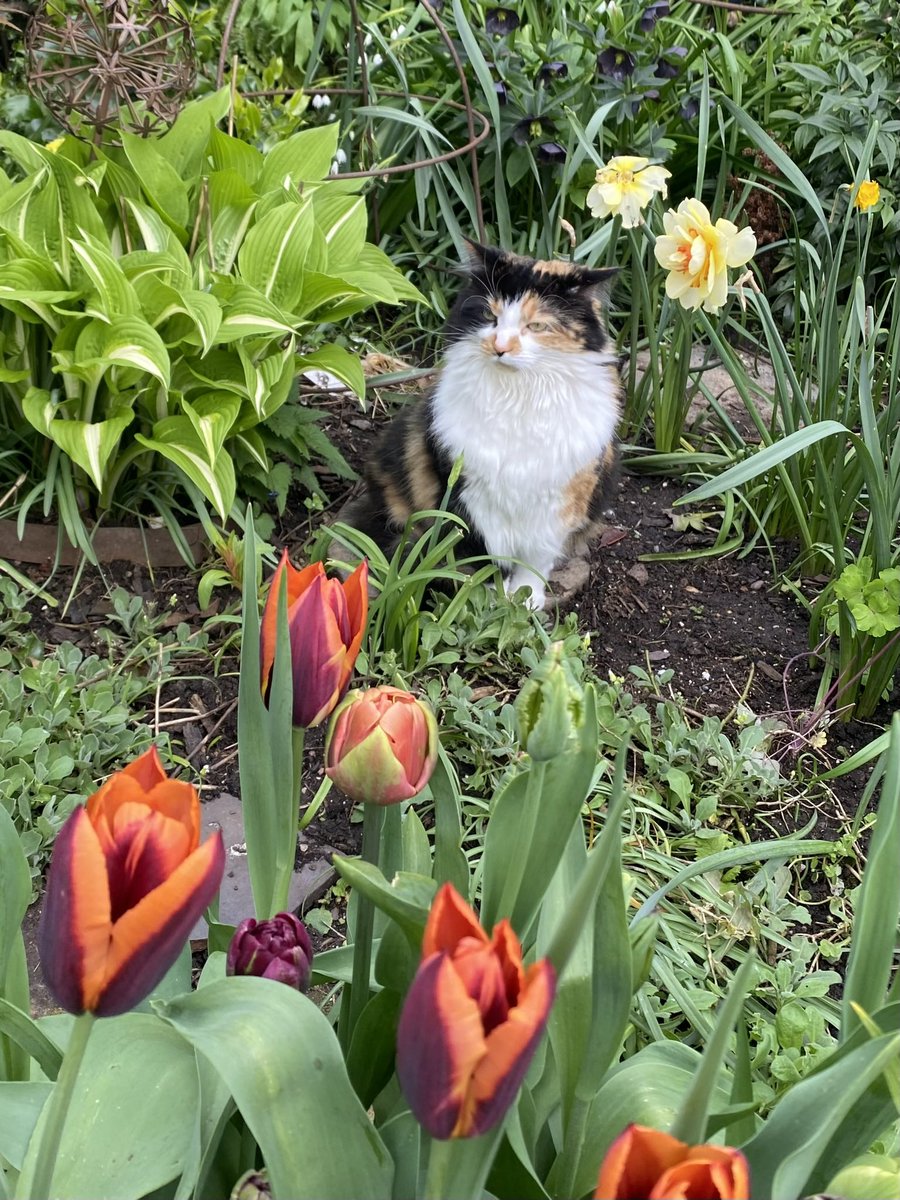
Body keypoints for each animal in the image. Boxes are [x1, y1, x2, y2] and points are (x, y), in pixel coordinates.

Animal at [336, 242, 624, 609]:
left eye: (536, 326)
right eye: (490, 316)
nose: (500, 347)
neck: (518, 400)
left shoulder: (560, 502)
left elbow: (534, 562)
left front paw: (525, 602)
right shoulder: (466, 498)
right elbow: (481, 559)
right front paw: (488, 601)